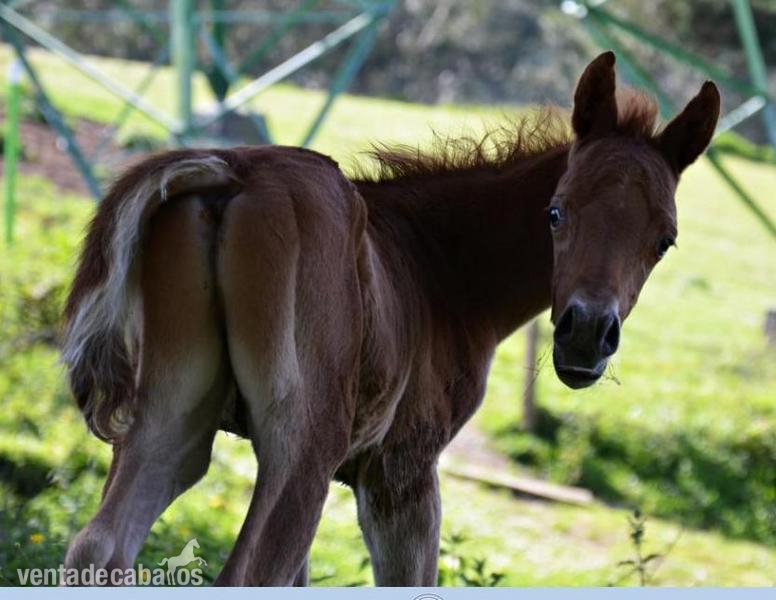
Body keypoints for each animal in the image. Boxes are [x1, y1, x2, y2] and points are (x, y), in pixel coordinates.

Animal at [61, 52, 719, 585]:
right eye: (555, 213)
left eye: (664, 241)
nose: (585, 335)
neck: (437, 267)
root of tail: (234, 171)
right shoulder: (401, 475)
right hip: (304, 447)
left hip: (173, 419)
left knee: (99, 547)